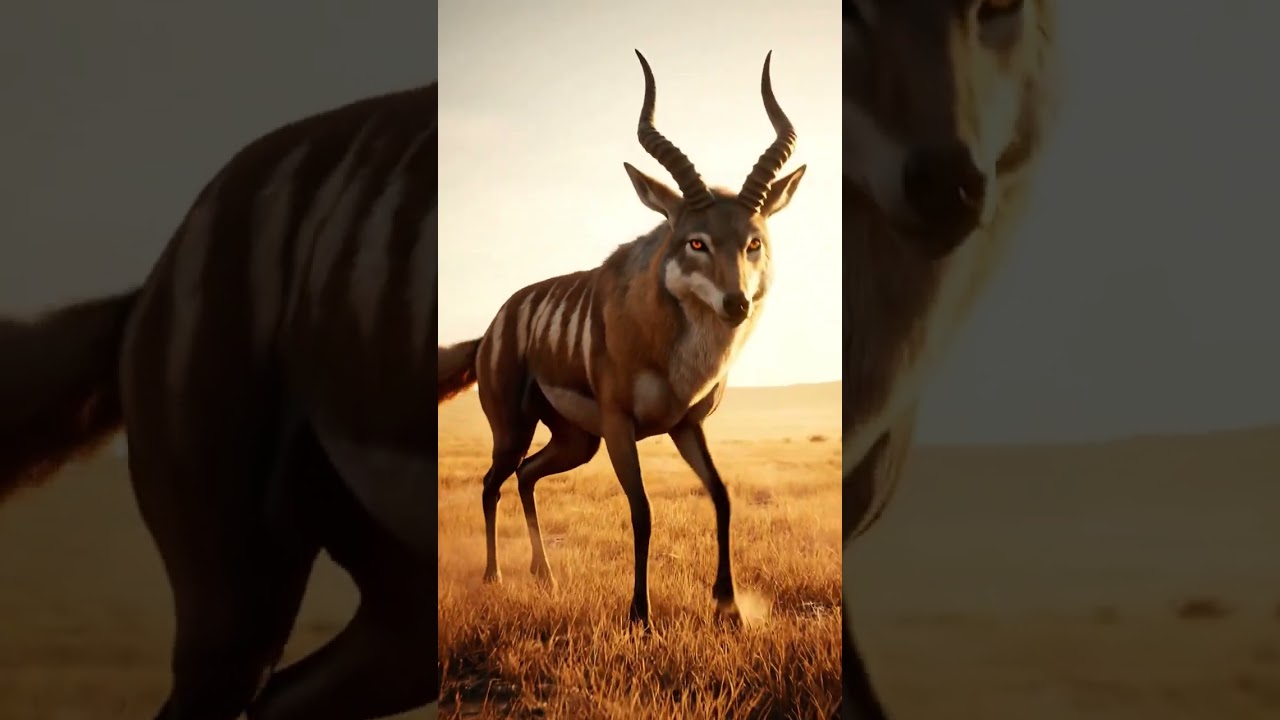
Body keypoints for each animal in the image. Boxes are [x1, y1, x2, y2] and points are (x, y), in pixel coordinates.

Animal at [435, 50, 806, 627]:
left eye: (754, 243)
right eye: (695, 242)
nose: (736, 304)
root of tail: (491, 329)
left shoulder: (685, 426)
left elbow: (722, 496)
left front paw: (729, 608)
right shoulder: (619, 425)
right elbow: (642, 510)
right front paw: (639, 616)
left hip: (574, 441)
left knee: (526, 474)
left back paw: (545, 577)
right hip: (516, 428)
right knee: (492, 481)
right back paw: (494, 576)